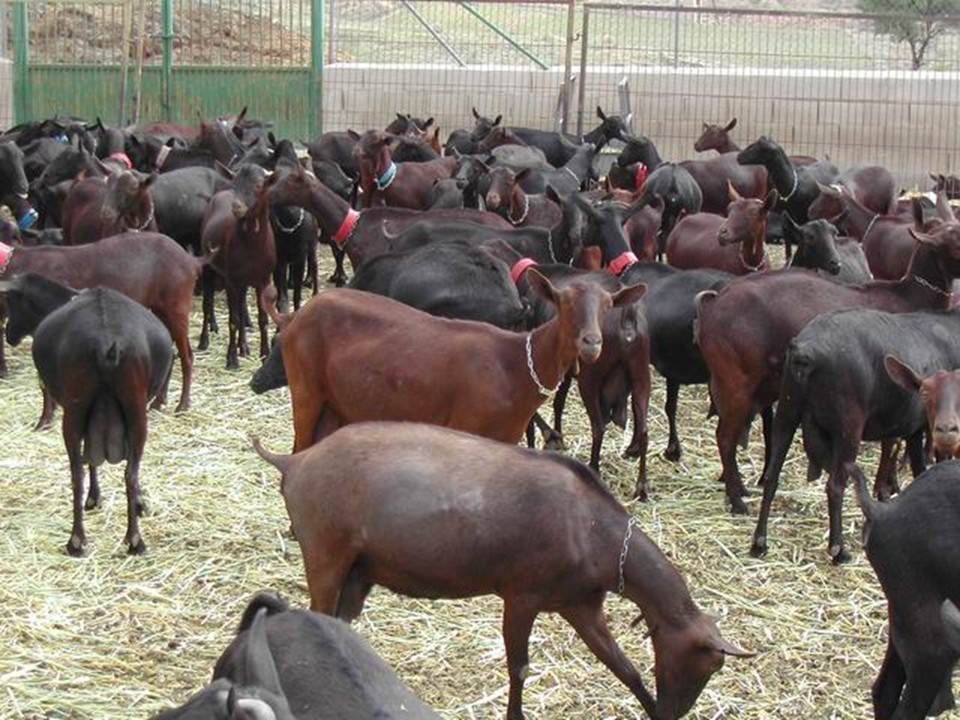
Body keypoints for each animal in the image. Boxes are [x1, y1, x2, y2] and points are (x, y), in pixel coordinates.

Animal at [251, 422, 752, 720]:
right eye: (707, 663)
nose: (673, 711)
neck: (591, 529)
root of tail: (294, 462)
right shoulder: (522, 594)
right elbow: (520, 667)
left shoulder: (580, 604)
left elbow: (622, 665)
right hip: (325, 553)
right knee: (316, 612)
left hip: (360, 571)